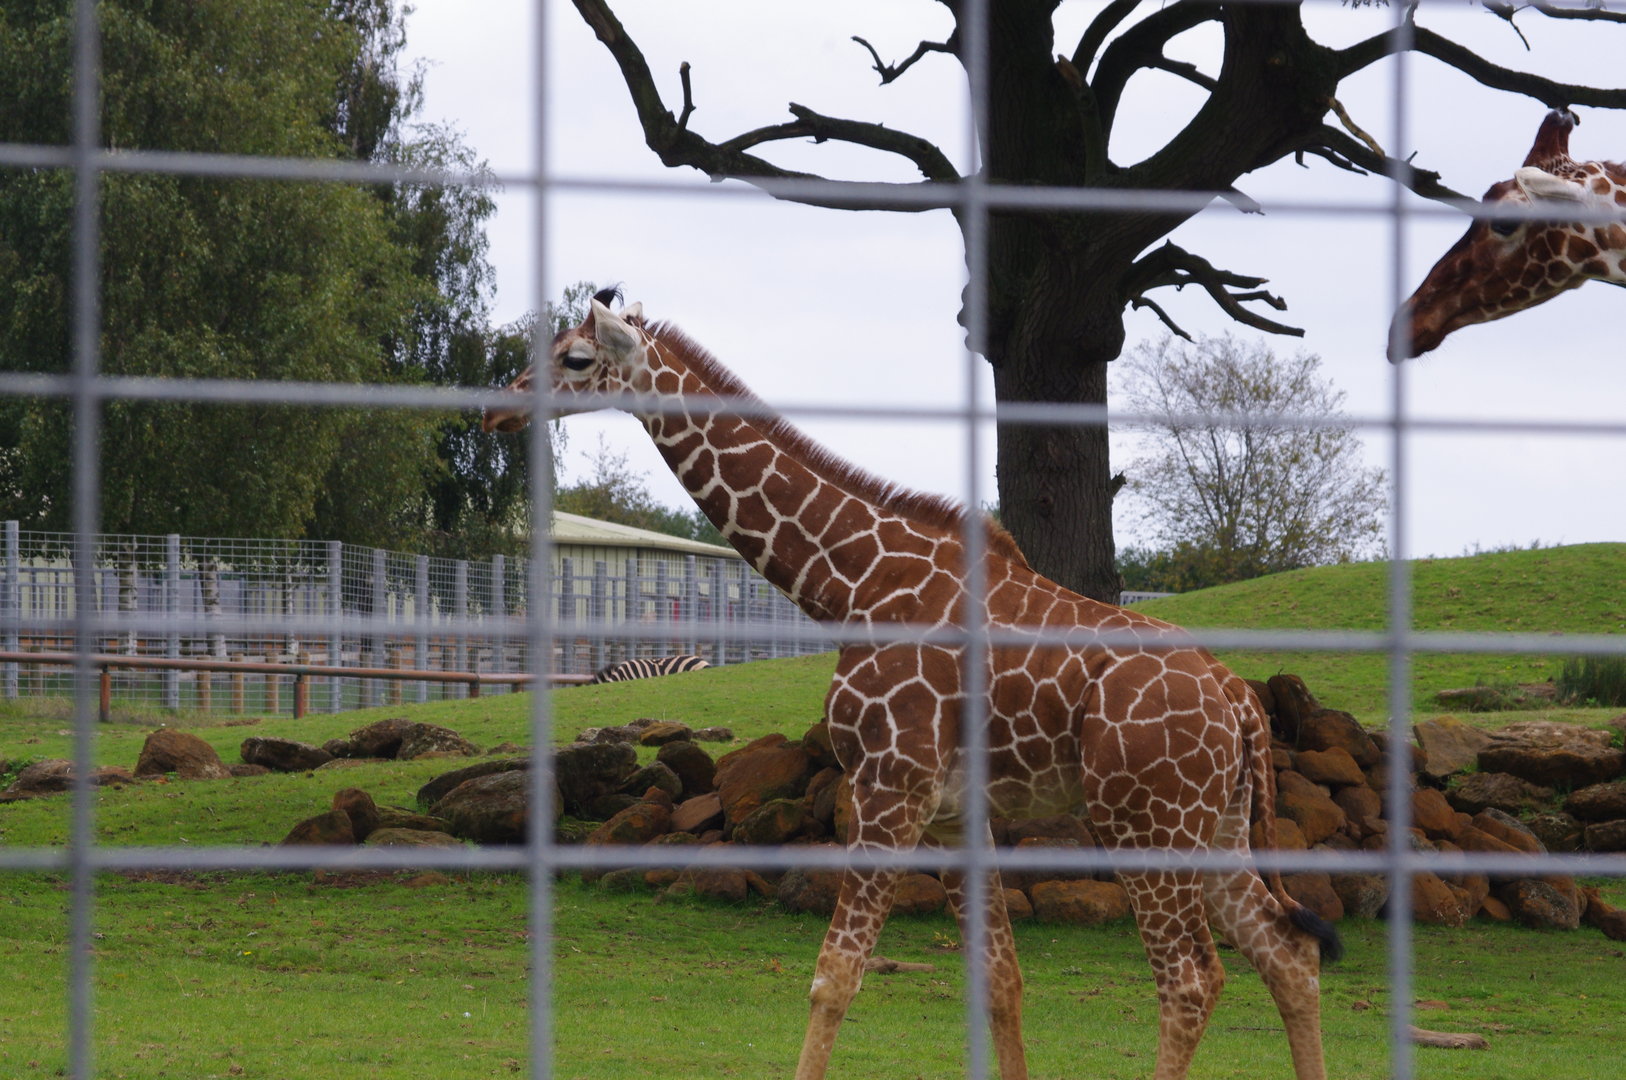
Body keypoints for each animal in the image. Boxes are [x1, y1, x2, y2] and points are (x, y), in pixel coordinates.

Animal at [483, 290, 1339, 1080]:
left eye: (576, 359)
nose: (496, 407)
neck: (851, 588)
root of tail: (1241, 703)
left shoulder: (890, 786)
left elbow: (835, 975)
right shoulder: (954, 812)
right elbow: (1000, 979)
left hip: (1146, 820)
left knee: (1192, 979)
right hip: (1214, 823)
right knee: (1287, 954)